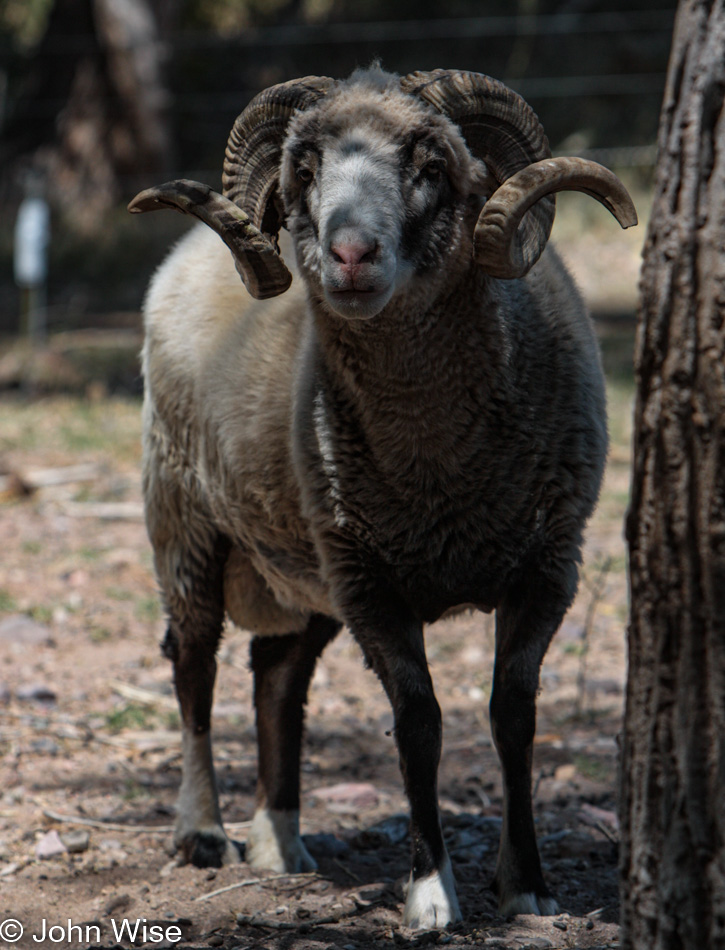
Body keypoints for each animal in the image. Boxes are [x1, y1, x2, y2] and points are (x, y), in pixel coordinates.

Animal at [129, 67, 632, 928]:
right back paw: (202, 834)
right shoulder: (373, 587)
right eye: (303, 169)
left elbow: (513, 716)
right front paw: (431, 894)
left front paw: (527, 886)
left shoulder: (544, 568)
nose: (349, 254)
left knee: (276, 676)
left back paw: (281, 843)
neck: (439, 471)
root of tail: (187, 250)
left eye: (430, 165)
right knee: (193, 664)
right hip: (185, 520)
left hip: (305, 564)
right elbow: (417, 724)